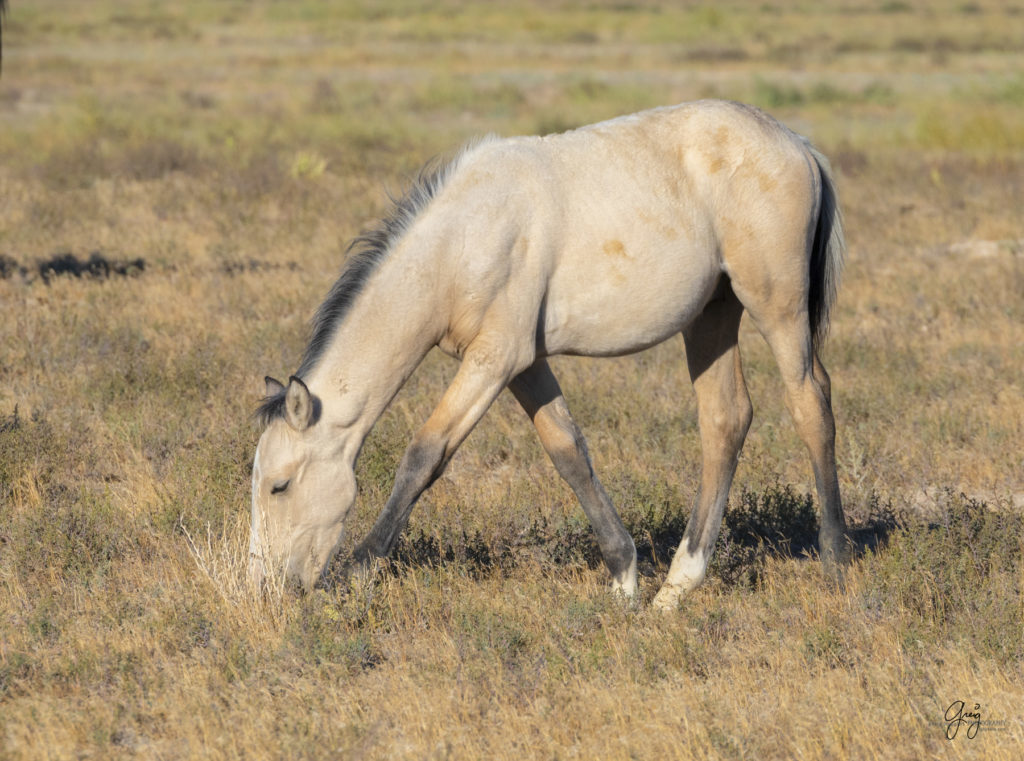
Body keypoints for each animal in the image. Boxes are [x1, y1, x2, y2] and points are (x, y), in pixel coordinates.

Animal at [249, 101, 847, 614]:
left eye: (279, 486)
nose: (265, 586)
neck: (463, 239)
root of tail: (796, 144)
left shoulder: (493, 362)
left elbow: (425, 455)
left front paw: (358, 573)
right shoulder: (524, 365)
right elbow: (568, 453)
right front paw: (624, 577)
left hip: (776, 307)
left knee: (810, 404)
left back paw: (836, 562)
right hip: (712, 316)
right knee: (725, 421)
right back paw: (678, 586)